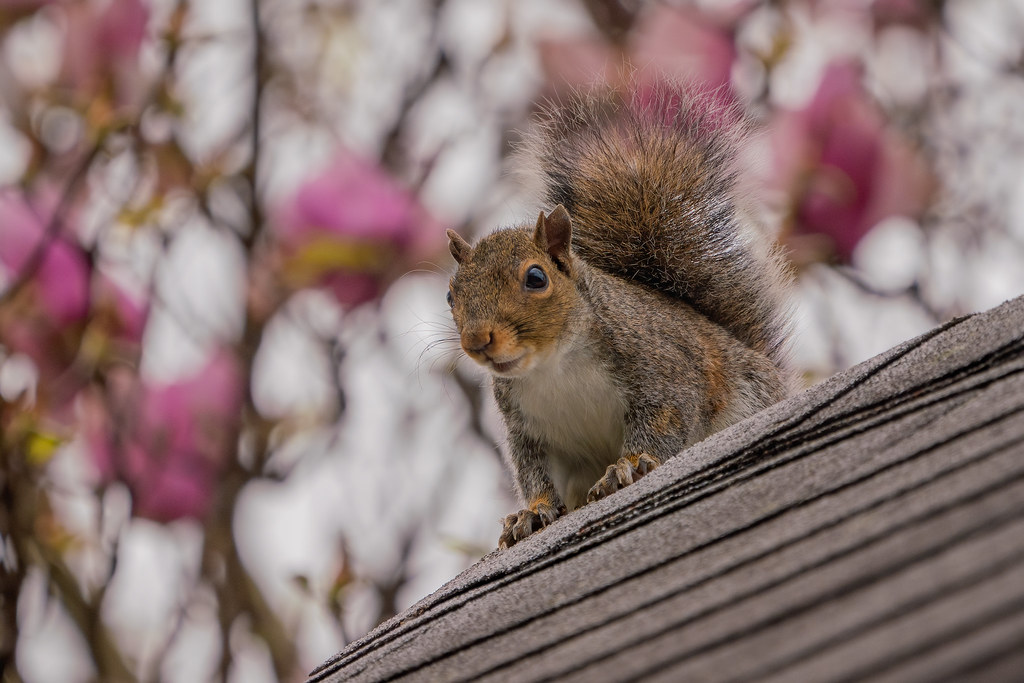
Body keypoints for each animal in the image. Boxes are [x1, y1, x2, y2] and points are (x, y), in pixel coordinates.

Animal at [445, 85, 793, 549]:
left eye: (536, 278)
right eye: (450, 295)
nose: (477, 341)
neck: (553, 367)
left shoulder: (664, 372)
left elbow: (662, 423)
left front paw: (628, 464)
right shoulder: (526, 430)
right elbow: (534, 473)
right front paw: (530, 513)